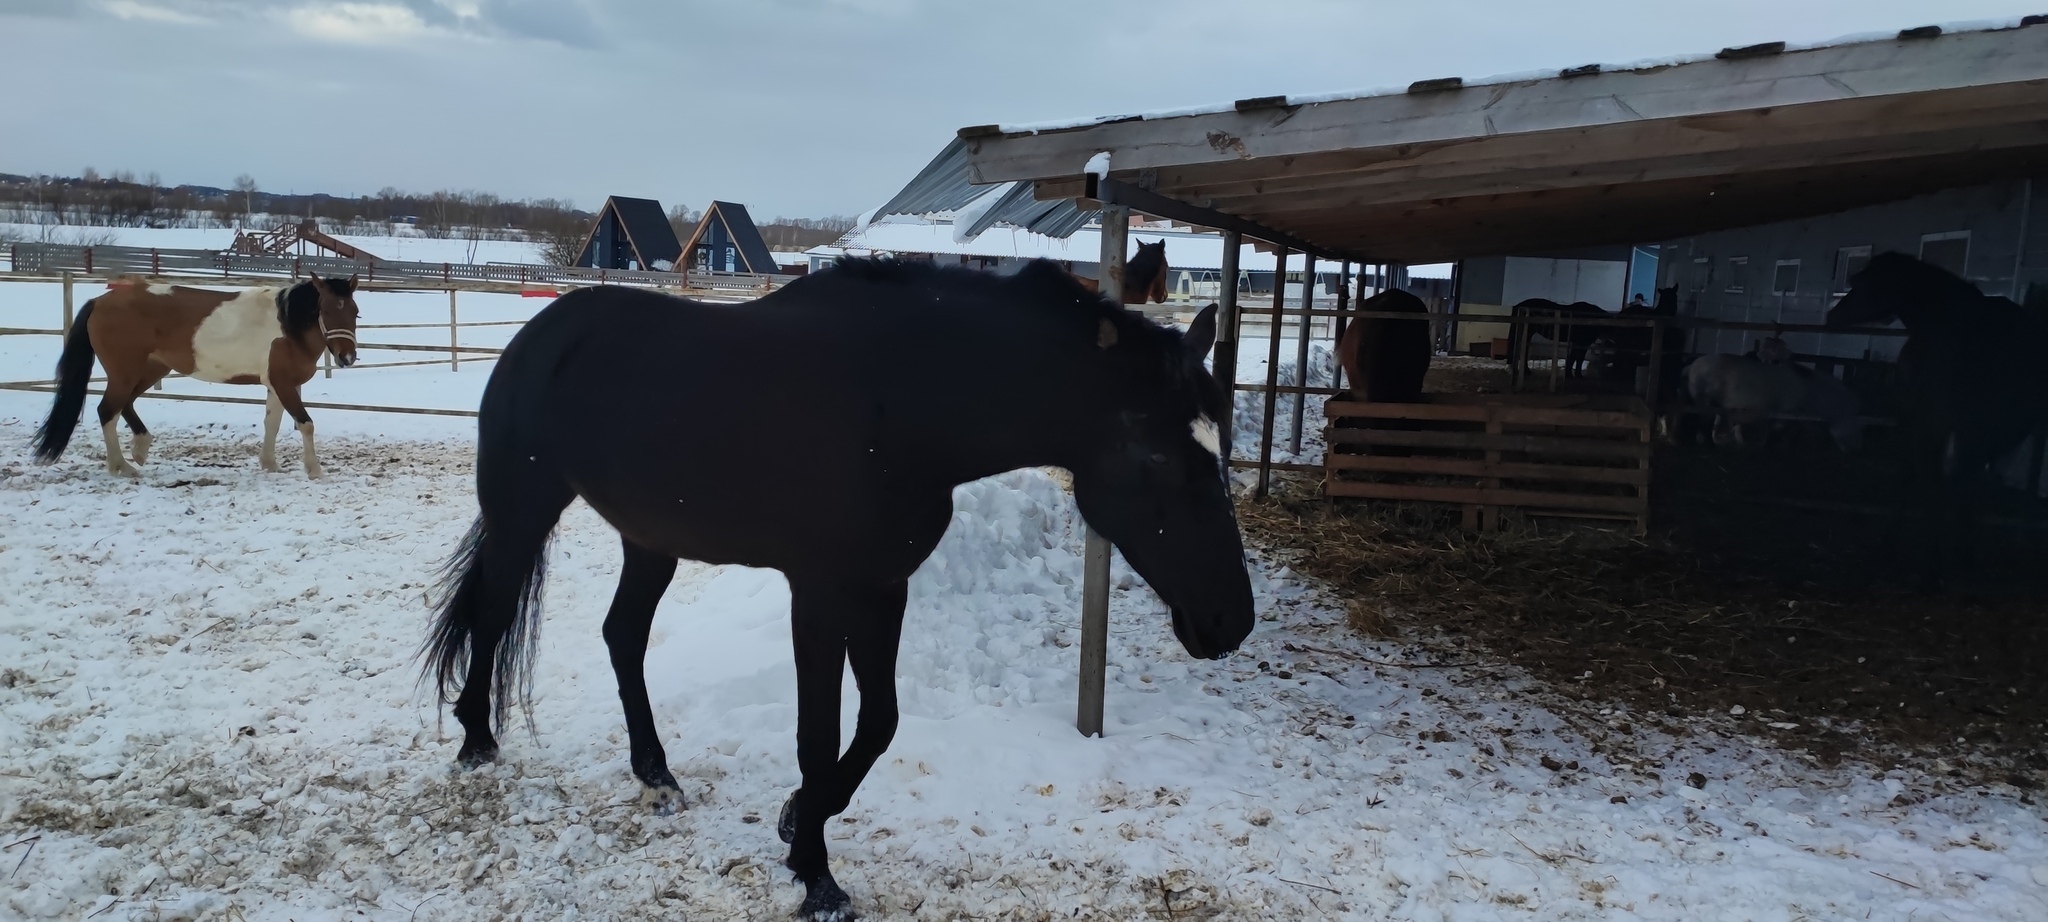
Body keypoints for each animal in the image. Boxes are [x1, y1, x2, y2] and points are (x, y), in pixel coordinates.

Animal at [30, 274, 360, 479]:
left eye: (355, 312)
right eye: (326, 310)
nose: (347, 357)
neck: (288, 325)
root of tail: (99, 301)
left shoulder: (275, 384)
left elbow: (272, 424)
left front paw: (269, 464)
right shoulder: (283, 384)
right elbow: (305, 424)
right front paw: (315, 470)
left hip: (151, 369)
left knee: (125, 405)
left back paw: (140, 449)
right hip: (125, 372)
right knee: (107, 410)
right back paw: (121, 466)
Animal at [419, 254, 1245, 922]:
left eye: (1222, 445)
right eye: (1153, 455)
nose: (1230, 621)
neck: (899, 408)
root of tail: (541, 333)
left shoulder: (883, 588)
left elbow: (879, 723)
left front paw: (796, 823)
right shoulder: (816, 595)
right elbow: (817, 737)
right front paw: (817, 879)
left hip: (648, 541)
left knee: (621, 636)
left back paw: (656, 776)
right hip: (524, 510)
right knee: (493, 612)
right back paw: (477, 740)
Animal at [1826, 248, 2048, 585]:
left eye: (1860, 284)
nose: (1831, 317)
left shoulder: (1944, 426)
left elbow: (1936, 484)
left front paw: (1933, 564)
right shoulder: (1917, 421)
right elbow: (1912, 477)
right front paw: (1890, 546)